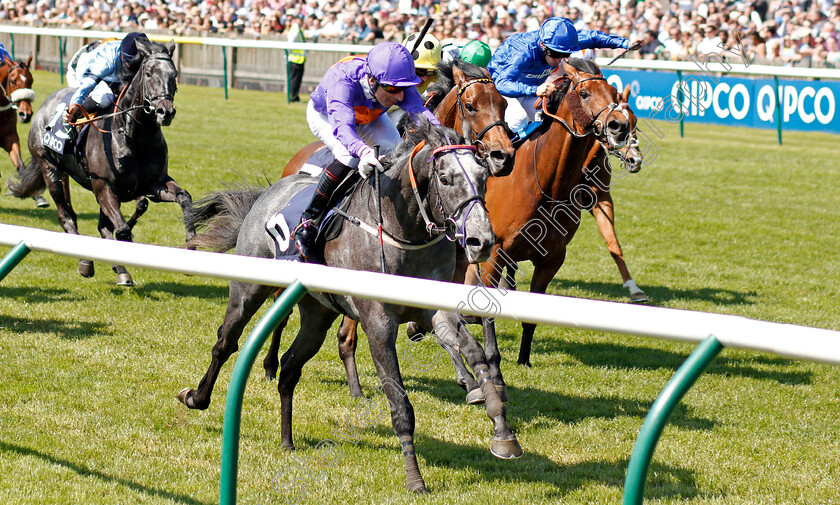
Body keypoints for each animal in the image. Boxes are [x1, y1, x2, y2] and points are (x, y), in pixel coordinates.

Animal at [0, 57, 47, 209]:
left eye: (31, 80)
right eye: (12, 81)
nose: (25, 114)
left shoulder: (10, 138)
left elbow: (20, 166)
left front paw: (36, 196)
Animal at [8, 37, 195, 286]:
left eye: (174, 75)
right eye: (148, 73)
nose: (165, 112)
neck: (134, 136)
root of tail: (42, 108)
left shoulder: (154, 185)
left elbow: (183, 197)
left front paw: (191, 246)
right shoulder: (104, 187)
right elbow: (122, 230)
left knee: (98, 224)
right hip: (50, 169)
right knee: (66, 216)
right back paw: (86, 262)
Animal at [176, 121, 520, 492]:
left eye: (483, 176)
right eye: (445, 178)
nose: (481, 240)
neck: (404, 229)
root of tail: (268, 193)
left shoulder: (435, 311)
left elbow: (474, 353)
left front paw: (501, 428)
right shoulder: (378, 324)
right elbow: (400, 403)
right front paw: (415, 478)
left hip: (317, 313)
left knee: (290, 366)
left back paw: (287, 440)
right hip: (248, 290)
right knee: (226, 342)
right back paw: (197, 397)